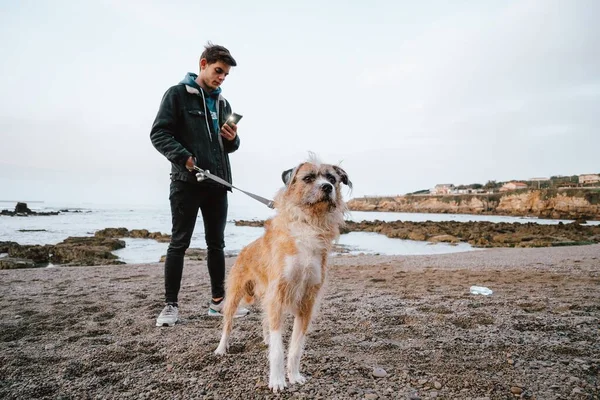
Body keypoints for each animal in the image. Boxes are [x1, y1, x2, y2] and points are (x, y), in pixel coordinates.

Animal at [214, 155, 352, 390]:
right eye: (308, 178)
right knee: (228, 324)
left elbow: (296, 346)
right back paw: (222, 348)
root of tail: (244, 249)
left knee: (264, 320)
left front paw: (294, 375)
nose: (327, 187)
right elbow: (278, 349)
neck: (310, 224)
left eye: (332, 178)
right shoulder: (278, 293)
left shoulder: (307, 299)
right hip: (234, 295)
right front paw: (277, 380)